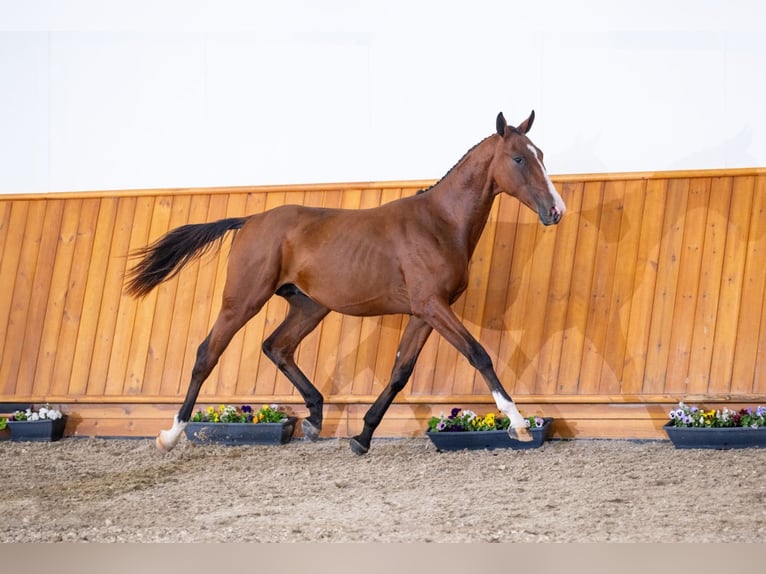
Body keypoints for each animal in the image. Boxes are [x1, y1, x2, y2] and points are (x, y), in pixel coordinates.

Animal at [129, 111, 568, 454]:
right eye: (518, 158)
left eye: (542, 156)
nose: (556, 211)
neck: (439, 224)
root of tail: (249, 221)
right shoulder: (433, 306)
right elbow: (479, 354)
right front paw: (519, 425)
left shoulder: (425, 312)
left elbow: (400, 372)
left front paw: (362, 437)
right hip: (243, 301)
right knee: (208, 354)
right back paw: (170, 435)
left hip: (309, 305)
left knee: (277, 346)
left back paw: (313, 417)